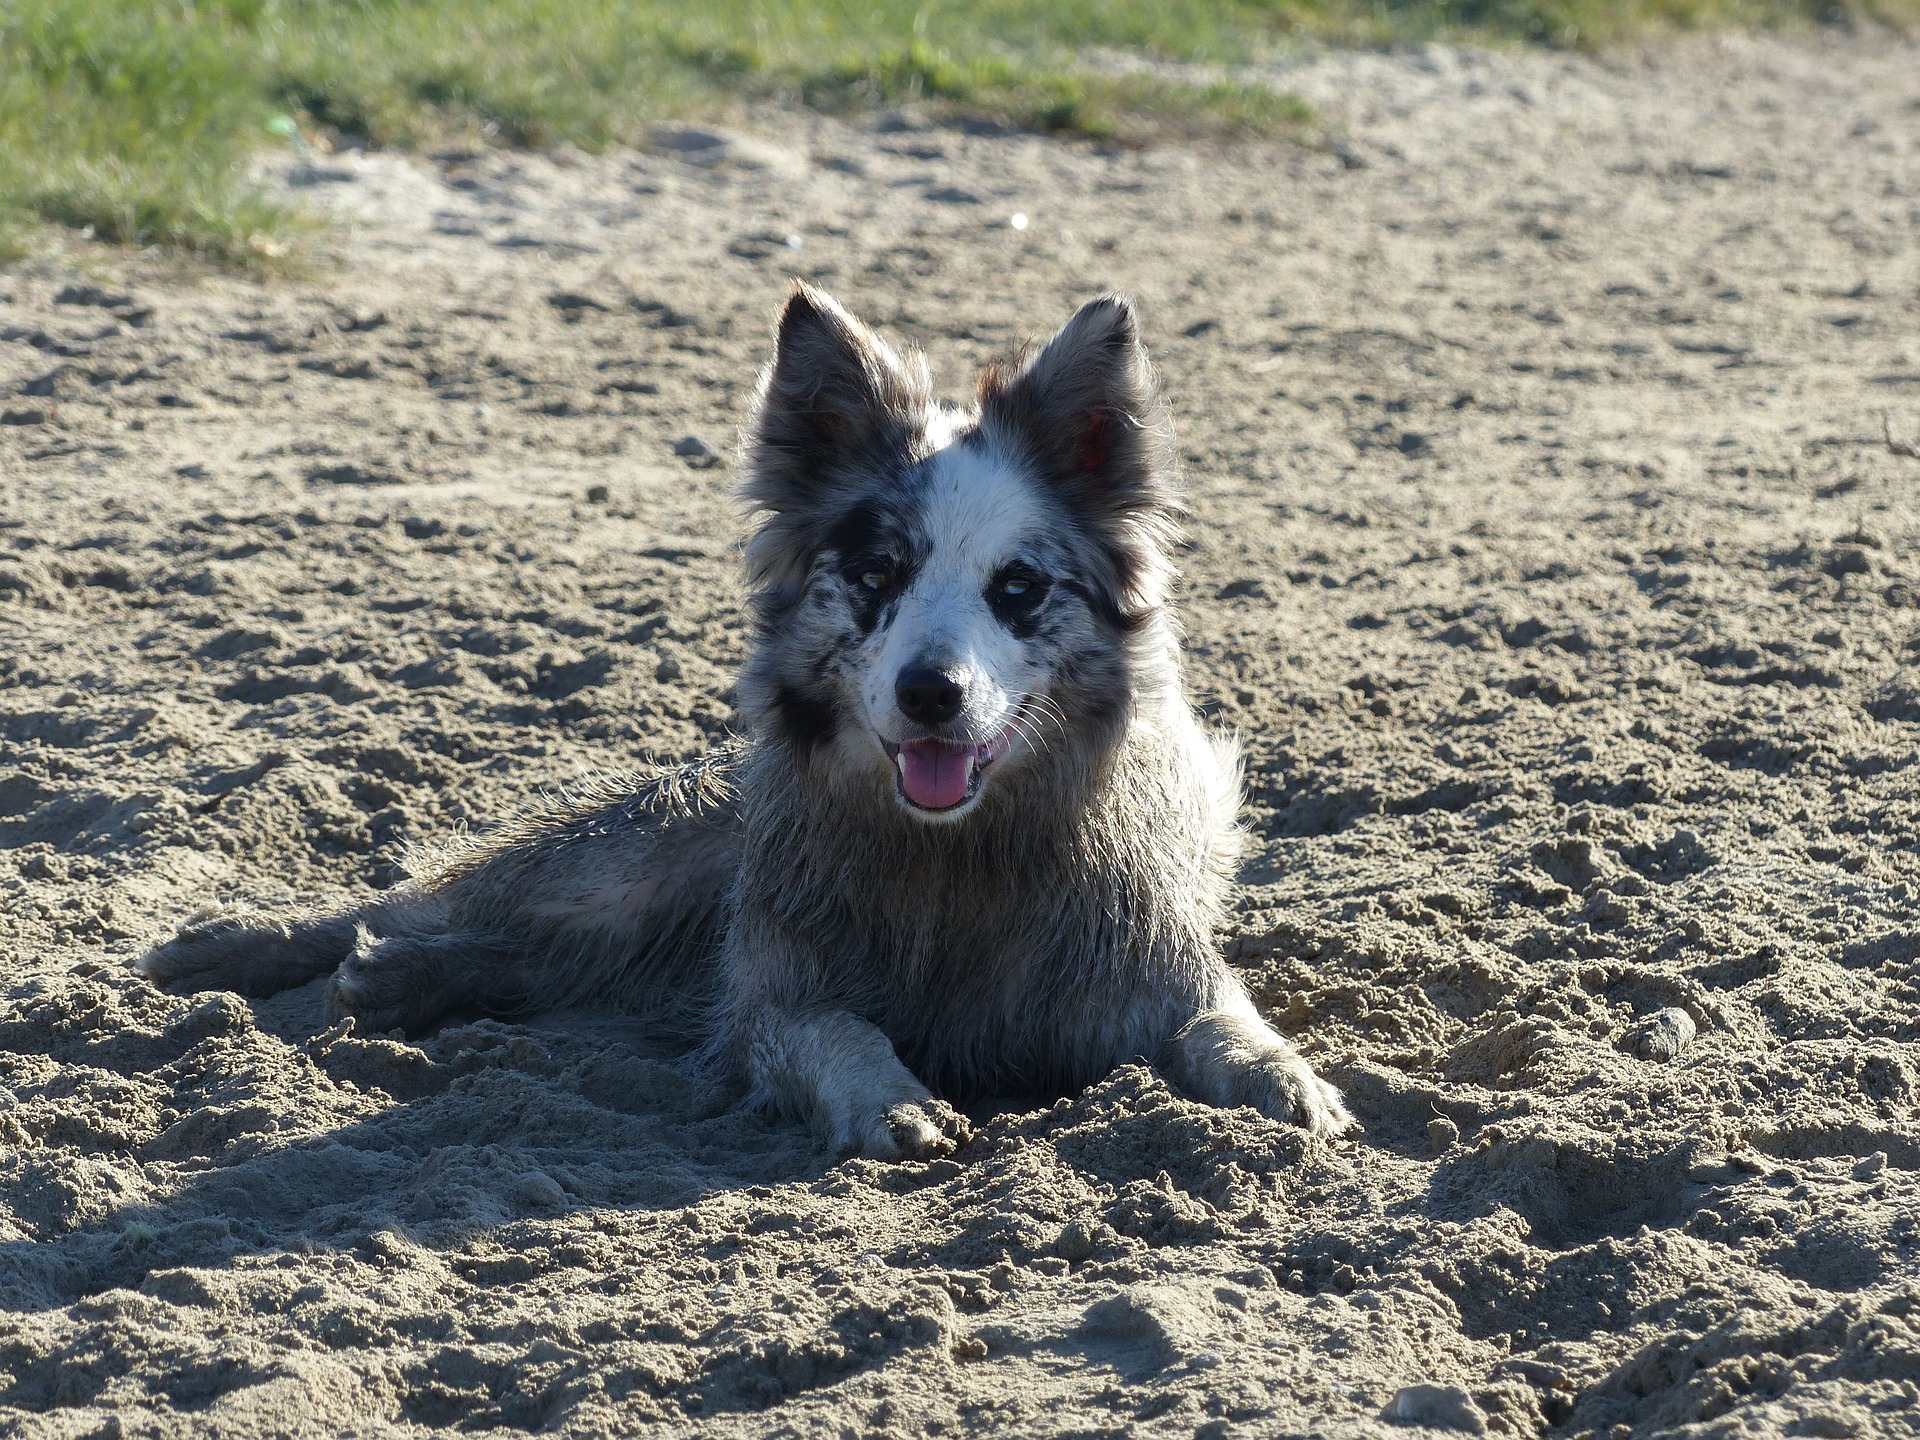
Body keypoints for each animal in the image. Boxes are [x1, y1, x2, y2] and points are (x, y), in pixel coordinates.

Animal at [135, 284, 1359, 1159]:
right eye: (876, 574)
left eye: (1017, 587)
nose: (931, 693)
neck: (958, 862)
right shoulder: (781, 990)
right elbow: (835, 1032)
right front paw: (888, 1098)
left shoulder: (1159, 968)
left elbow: (1230, 1024)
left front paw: (1292, 1081)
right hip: (628, 866)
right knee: (417, 902)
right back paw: (246, 947)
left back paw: (400, 981)